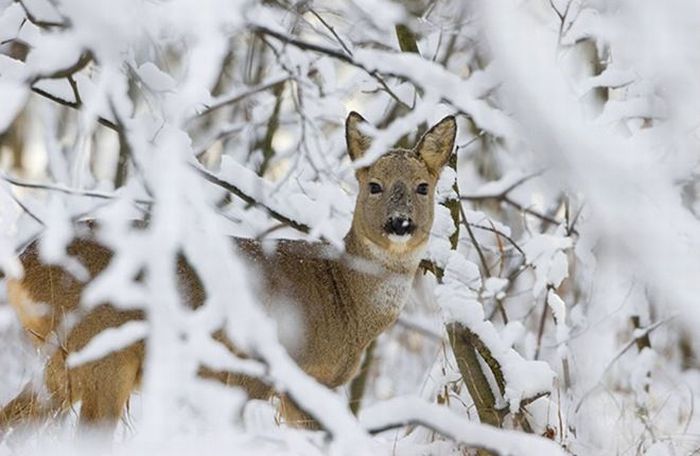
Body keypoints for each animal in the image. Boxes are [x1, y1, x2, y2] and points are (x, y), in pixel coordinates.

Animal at [0, 112, 456, 432]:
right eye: (374, 185)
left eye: (423, 187)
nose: (400, 223)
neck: (344, 296)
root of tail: (24, 264)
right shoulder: (305, 379)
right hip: (102, 353)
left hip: (59, 364)